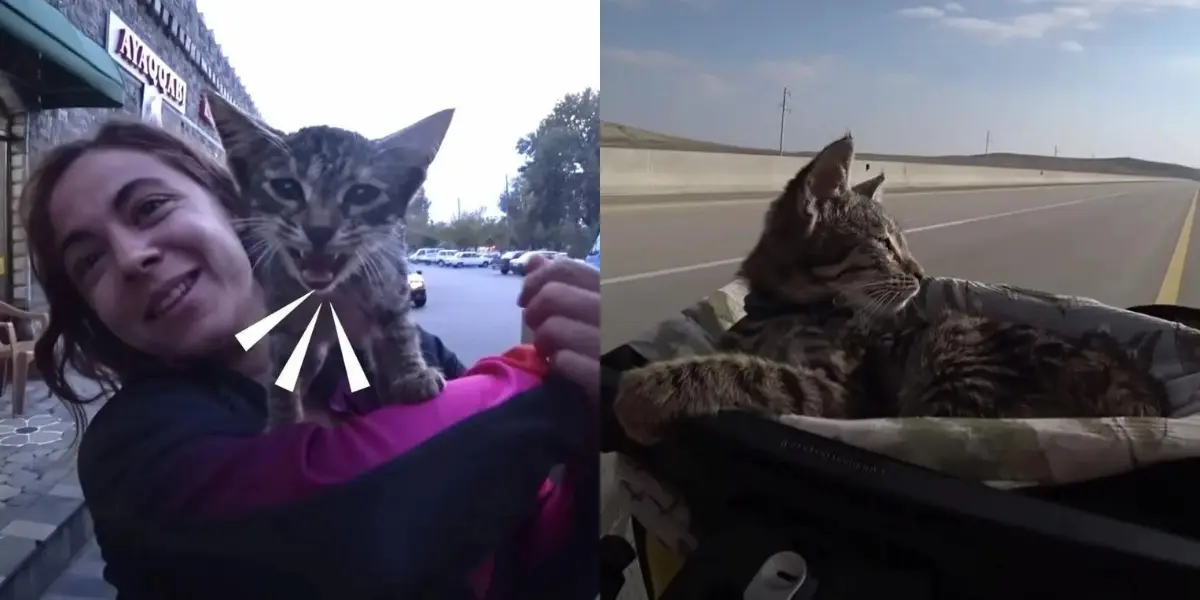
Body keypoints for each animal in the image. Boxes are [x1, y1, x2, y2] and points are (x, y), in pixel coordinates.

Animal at [206, 91, 451, 429]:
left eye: (362, 194)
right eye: (286, 188)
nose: (319, 229)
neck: (333, 296)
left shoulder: (391, 283)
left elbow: (399, 330)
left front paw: (411, 374)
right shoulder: (284, 322)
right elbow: (283, 374)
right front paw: (283, 422)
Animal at [614, 133, 1166, 448]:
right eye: (884, 243)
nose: (922, 273)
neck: (782, 307)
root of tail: (1145, 400)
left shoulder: (841, 393)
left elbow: (744, 370)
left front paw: (645, 390)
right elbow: (735, 359)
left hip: (952, 352)